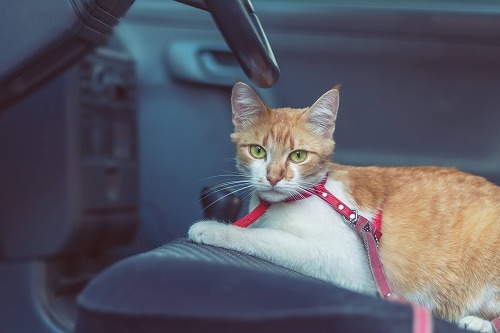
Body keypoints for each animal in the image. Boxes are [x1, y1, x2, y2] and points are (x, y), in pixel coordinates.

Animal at [188, 81, 500, 330]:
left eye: (298, 156)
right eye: (257, 151)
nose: (274, 177)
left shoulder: (341, 261)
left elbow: (265, 238)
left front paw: (214, 229)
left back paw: (480, 323)